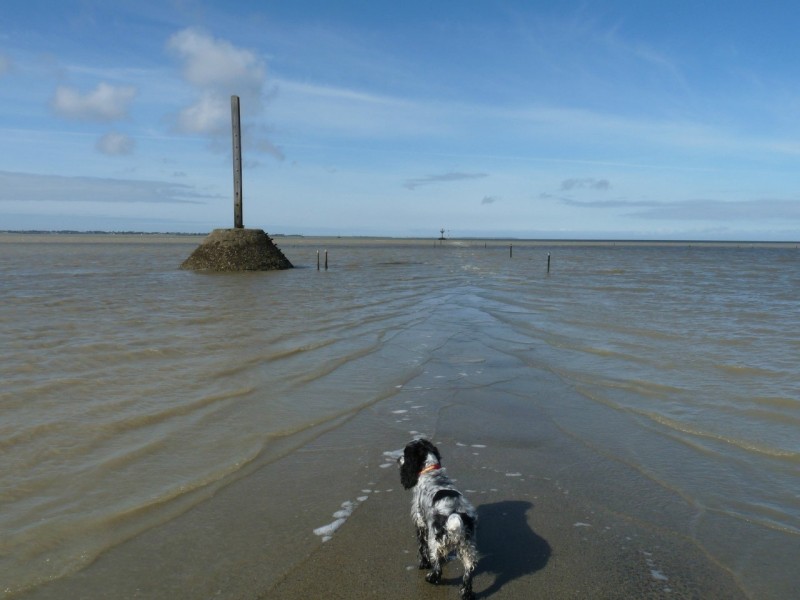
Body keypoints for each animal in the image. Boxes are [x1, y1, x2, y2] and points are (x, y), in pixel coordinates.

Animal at [398, 436, 478, 600]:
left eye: (405, 453)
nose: (397, 459)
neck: (431, 471)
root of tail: (455, 514)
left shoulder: (420, 522)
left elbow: (422, 548)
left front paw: (423, 563)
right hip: (468, 546)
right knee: (468, 570)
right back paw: (465, 593)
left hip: (435, 540)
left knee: (437, 568)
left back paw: (430, 578)